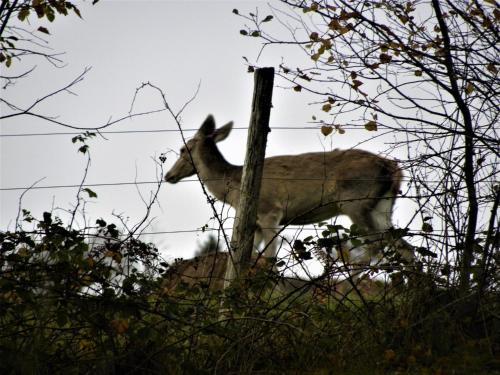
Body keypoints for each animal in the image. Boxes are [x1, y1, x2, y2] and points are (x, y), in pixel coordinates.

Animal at [165, 114, 414, 280]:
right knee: (404, 246)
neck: (235, 186)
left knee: (376, 244)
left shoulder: (269, 211)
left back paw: (343, 285)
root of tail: (394, 170)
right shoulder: (255, 224)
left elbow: (270, 259)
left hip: (355, 201)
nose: (169, 175)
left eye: (183, 149)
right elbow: (249, 258)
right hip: (381, 206)